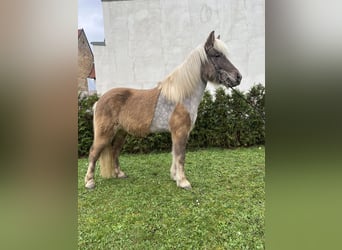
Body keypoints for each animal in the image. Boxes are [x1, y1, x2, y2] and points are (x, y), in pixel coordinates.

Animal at [84, 30, 242, 189]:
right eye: (217, 55)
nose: (238, 77)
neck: (180, 96)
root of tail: (99, 101)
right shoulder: (180, 132)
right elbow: (180, 155)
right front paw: (183, 182)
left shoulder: (177, 133)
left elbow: (174, 154)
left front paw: (175, 177)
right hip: (105, 133)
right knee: (93, 152)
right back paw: (90, 182)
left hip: (120, 133)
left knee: (114, 152)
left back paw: (119, 174)